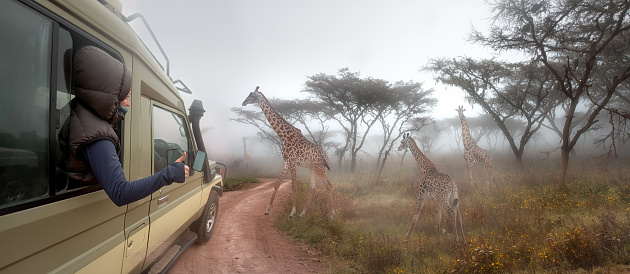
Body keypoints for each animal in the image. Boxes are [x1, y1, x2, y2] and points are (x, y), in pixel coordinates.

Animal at [241, 85, 336, 218]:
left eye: (252, 95)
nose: (243, 103)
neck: (284, 136)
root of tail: (326, 156)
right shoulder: (286, 161)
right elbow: (277, 184)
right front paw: (267, 210)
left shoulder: (292, 161)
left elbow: (294, 186)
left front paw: (292, 212)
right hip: (313, 167)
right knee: (314, 187)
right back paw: (303, 213)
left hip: (319, 167)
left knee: (328, 185)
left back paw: (332, 214)